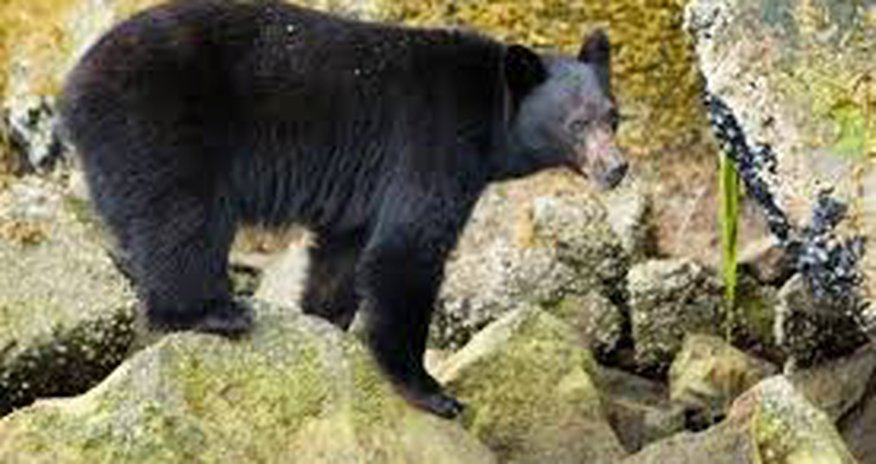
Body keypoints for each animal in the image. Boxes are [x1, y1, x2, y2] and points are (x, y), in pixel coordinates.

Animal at [59, 0, 627, 418]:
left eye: (613, 116)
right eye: (577, 123)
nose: (617, 168)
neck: (490, 109)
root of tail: (71, 88)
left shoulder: (363, 193)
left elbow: (345, 251)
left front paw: (324, 320)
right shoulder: (433, 144)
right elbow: (408, 250)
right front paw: (431, 390)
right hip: (158, 120)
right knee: (181, 216)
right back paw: (212, 312)